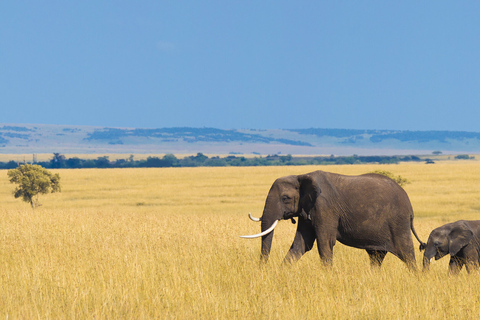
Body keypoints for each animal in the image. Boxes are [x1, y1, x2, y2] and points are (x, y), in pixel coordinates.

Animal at [240, 170, 428, 270]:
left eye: (285, 198)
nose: (262, 269)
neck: (301, 176)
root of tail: (409, 206)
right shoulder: (307, 210)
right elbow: (301, 243)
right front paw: (282, 272)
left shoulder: (325, 208)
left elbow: (325, 242)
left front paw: (327, 275)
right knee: (376, 256)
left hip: (398, 222)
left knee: (406, 253)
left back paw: (415, 277)